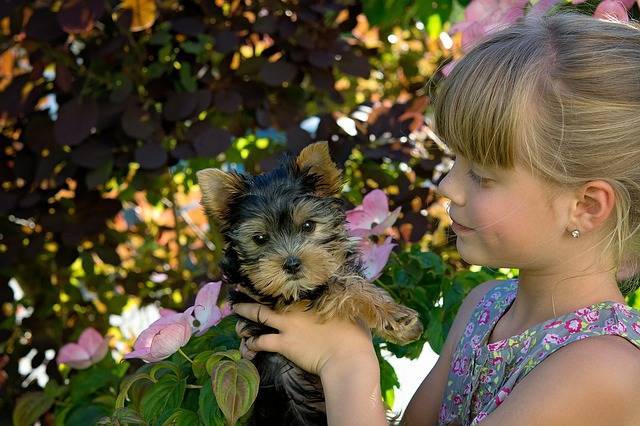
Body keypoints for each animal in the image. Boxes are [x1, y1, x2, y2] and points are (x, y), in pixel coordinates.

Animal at [198, 143, 422, 426]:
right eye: (259, 238)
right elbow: (340, 286)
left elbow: (346, 279)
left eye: (308, 225)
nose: (292, 264)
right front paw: (396, 318)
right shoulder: (273, 296)